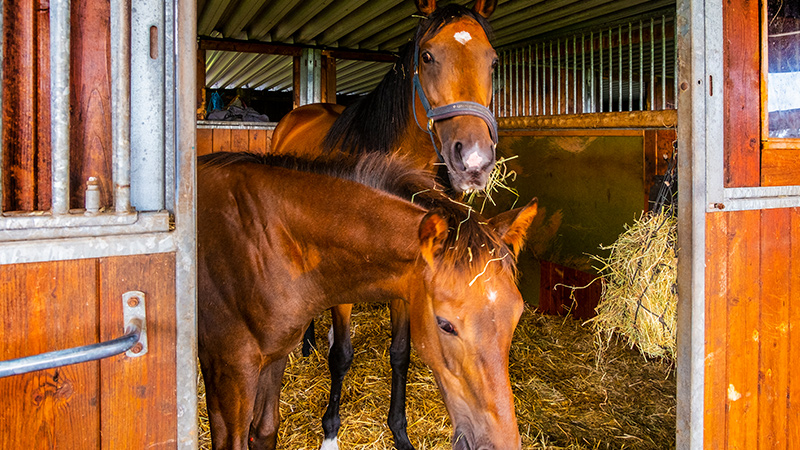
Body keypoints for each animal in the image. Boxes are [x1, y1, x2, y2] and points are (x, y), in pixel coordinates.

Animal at [198, 152, 536, 450]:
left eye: (517, 315)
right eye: (445, 325)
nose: (501, 444)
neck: (267, 243)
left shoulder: (274, 357)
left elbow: (265, 431)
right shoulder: (229, 368)